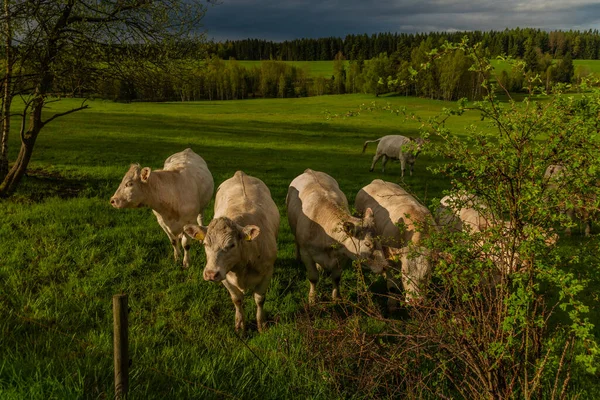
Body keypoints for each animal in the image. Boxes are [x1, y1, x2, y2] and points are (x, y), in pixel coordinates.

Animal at [183, 170, 278, 332]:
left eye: (232, 245)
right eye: (205, 244)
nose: (210, 274)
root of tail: (240, 173)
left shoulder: (267, 272)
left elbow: (259, 299)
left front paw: (261, 324)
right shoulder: (225, 276)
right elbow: (237, 299)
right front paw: (240, 325)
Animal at [288, 169, 390, 304]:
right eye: (367, 244)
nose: (385, 267)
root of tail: (310, 170)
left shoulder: (343, 255)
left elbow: (336, 277)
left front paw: (337, 297)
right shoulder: (307, 254)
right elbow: (313, 277)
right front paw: (312, 298)